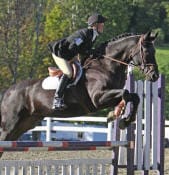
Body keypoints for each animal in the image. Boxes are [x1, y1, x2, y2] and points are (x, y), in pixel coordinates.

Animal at [0, 31, 158, 145]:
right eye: (146, 52)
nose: (155, 76)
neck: (105, 67)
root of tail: (8, 91)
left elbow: (134, 96)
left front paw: (124, 120)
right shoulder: (98, 99)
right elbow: (125, 93)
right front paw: (116, 116)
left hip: (26, 123)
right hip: (10, 124)